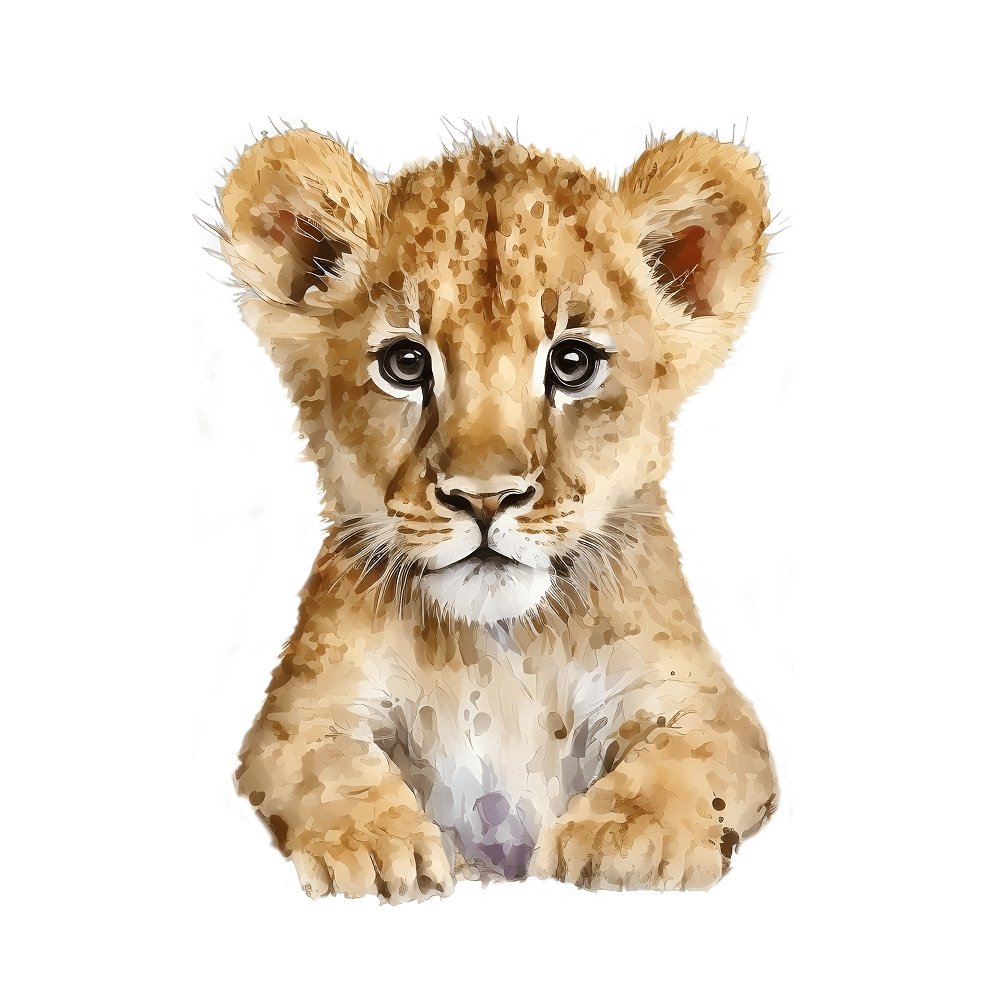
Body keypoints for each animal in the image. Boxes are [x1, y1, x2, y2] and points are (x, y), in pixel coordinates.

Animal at [215, 125, 777, 901]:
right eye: (405, 363)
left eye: (572, 363)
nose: (484, 497)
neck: (497, 649)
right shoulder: (299, 711)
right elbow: (325, 764)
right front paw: (376, 845)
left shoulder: (705, 704)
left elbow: (684, 759)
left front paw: (623, 838)